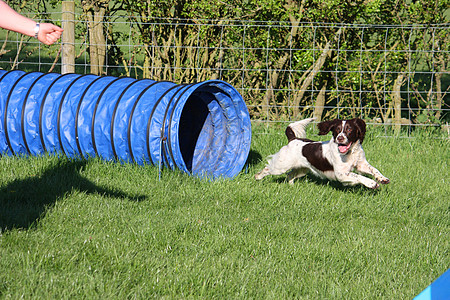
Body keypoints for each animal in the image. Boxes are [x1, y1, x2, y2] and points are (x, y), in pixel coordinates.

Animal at [253, 117, 390, 188]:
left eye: (349, 129)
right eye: (337, 130)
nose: (340, 138)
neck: (349, 153)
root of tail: (293, 139)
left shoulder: (361, 164)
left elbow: (374, 169)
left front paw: (382, 179)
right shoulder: (341, 174)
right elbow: (358, 176)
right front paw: (371, 183)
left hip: (302, 169)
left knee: (290, 175)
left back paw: (291, 186)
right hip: (281, 165)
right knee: (268, 168)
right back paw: (257, 177)